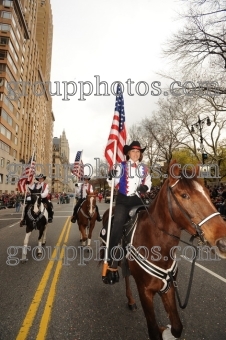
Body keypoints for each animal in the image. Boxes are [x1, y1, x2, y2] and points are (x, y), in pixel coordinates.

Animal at [101, 162, 226, 340]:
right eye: (184, 195)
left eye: (208, 193)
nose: (223, 241)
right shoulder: (145, 291)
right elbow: (153, 331)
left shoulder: (168, 287)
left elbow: (177, 327)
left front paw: (166, 331)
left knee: (126, 276)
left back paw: (131, 301)